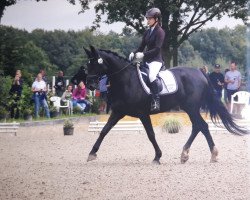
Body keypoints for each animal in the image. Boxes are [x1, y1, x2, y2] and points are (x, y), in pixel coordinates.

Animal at [78, 45, 248, 164]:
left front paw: (157, 157)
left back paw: (211, 154)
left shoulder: (143, 113)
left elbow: (150, 134)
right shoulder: (118, 112)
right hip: (188, 108)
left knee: (202, 126)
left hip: (191, 108)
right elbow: (104, 131)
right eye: (87, 65)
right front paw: (92, 153)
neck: (126, 80)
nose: (90, 85)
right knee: (198, 126)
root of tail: (200, 72)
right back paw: (186, 154)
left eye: (95, 63)